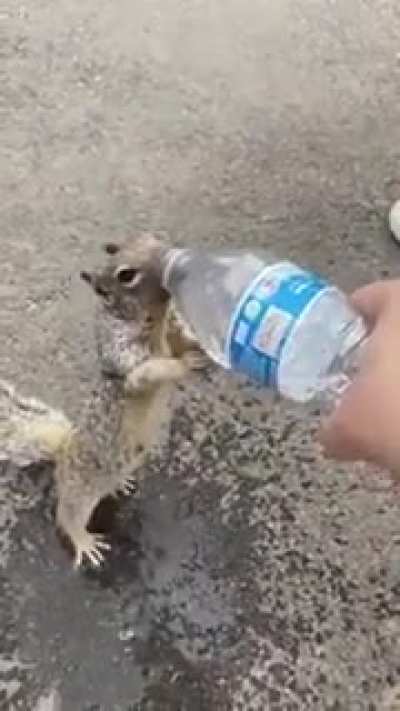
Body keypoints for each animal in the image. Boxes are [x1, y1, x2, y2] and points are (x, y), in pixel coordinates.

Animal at [0, 233, 206, 568]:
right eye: (126, 275)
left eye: (149, 238)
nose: (172, 258)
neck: (155, 322)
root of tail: (63, 453)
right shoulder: (124, 355)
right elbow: (150, 371)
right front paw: (186, 363)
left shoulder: (170, 330)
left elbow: (179, 338)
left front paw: (199, 345)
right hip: (80, 490)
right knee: (67, 516)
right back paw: (83, 542)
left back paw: (120, 484)